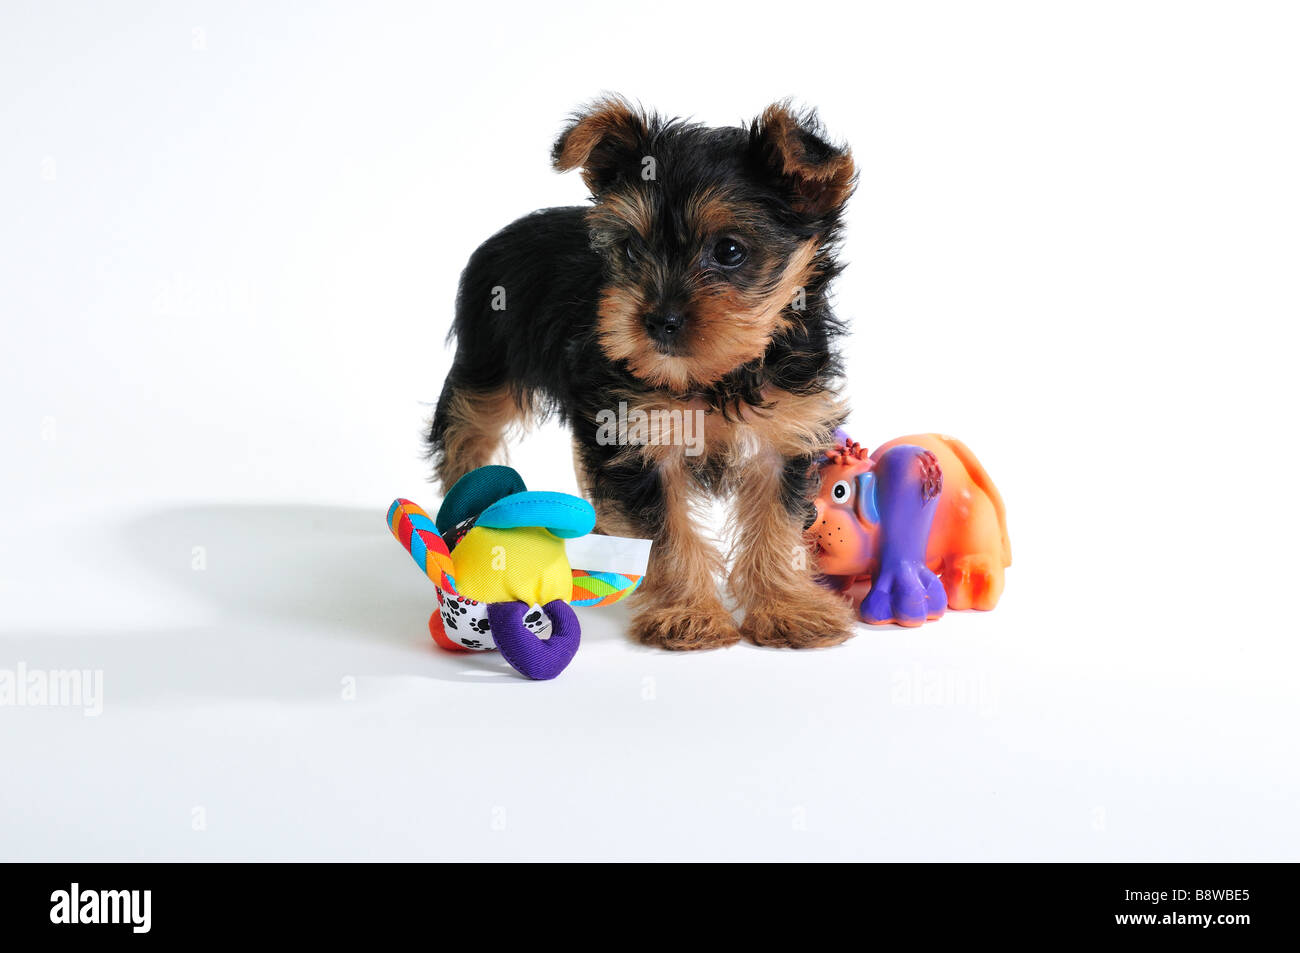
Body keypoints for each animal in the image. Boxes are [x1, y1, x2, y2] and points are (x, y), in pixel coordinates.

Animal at [431, 94, 863, 647]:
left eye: (729, 250)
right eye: (633, 248)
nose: (658, 321)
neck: (718, 375)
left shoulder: (787, 429)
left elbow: (776, 522)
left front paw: (786, 608)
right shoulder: (637, 436)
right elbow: (668, 530)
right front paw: (689, 615)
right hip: (486, 365)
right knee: (468, 432)